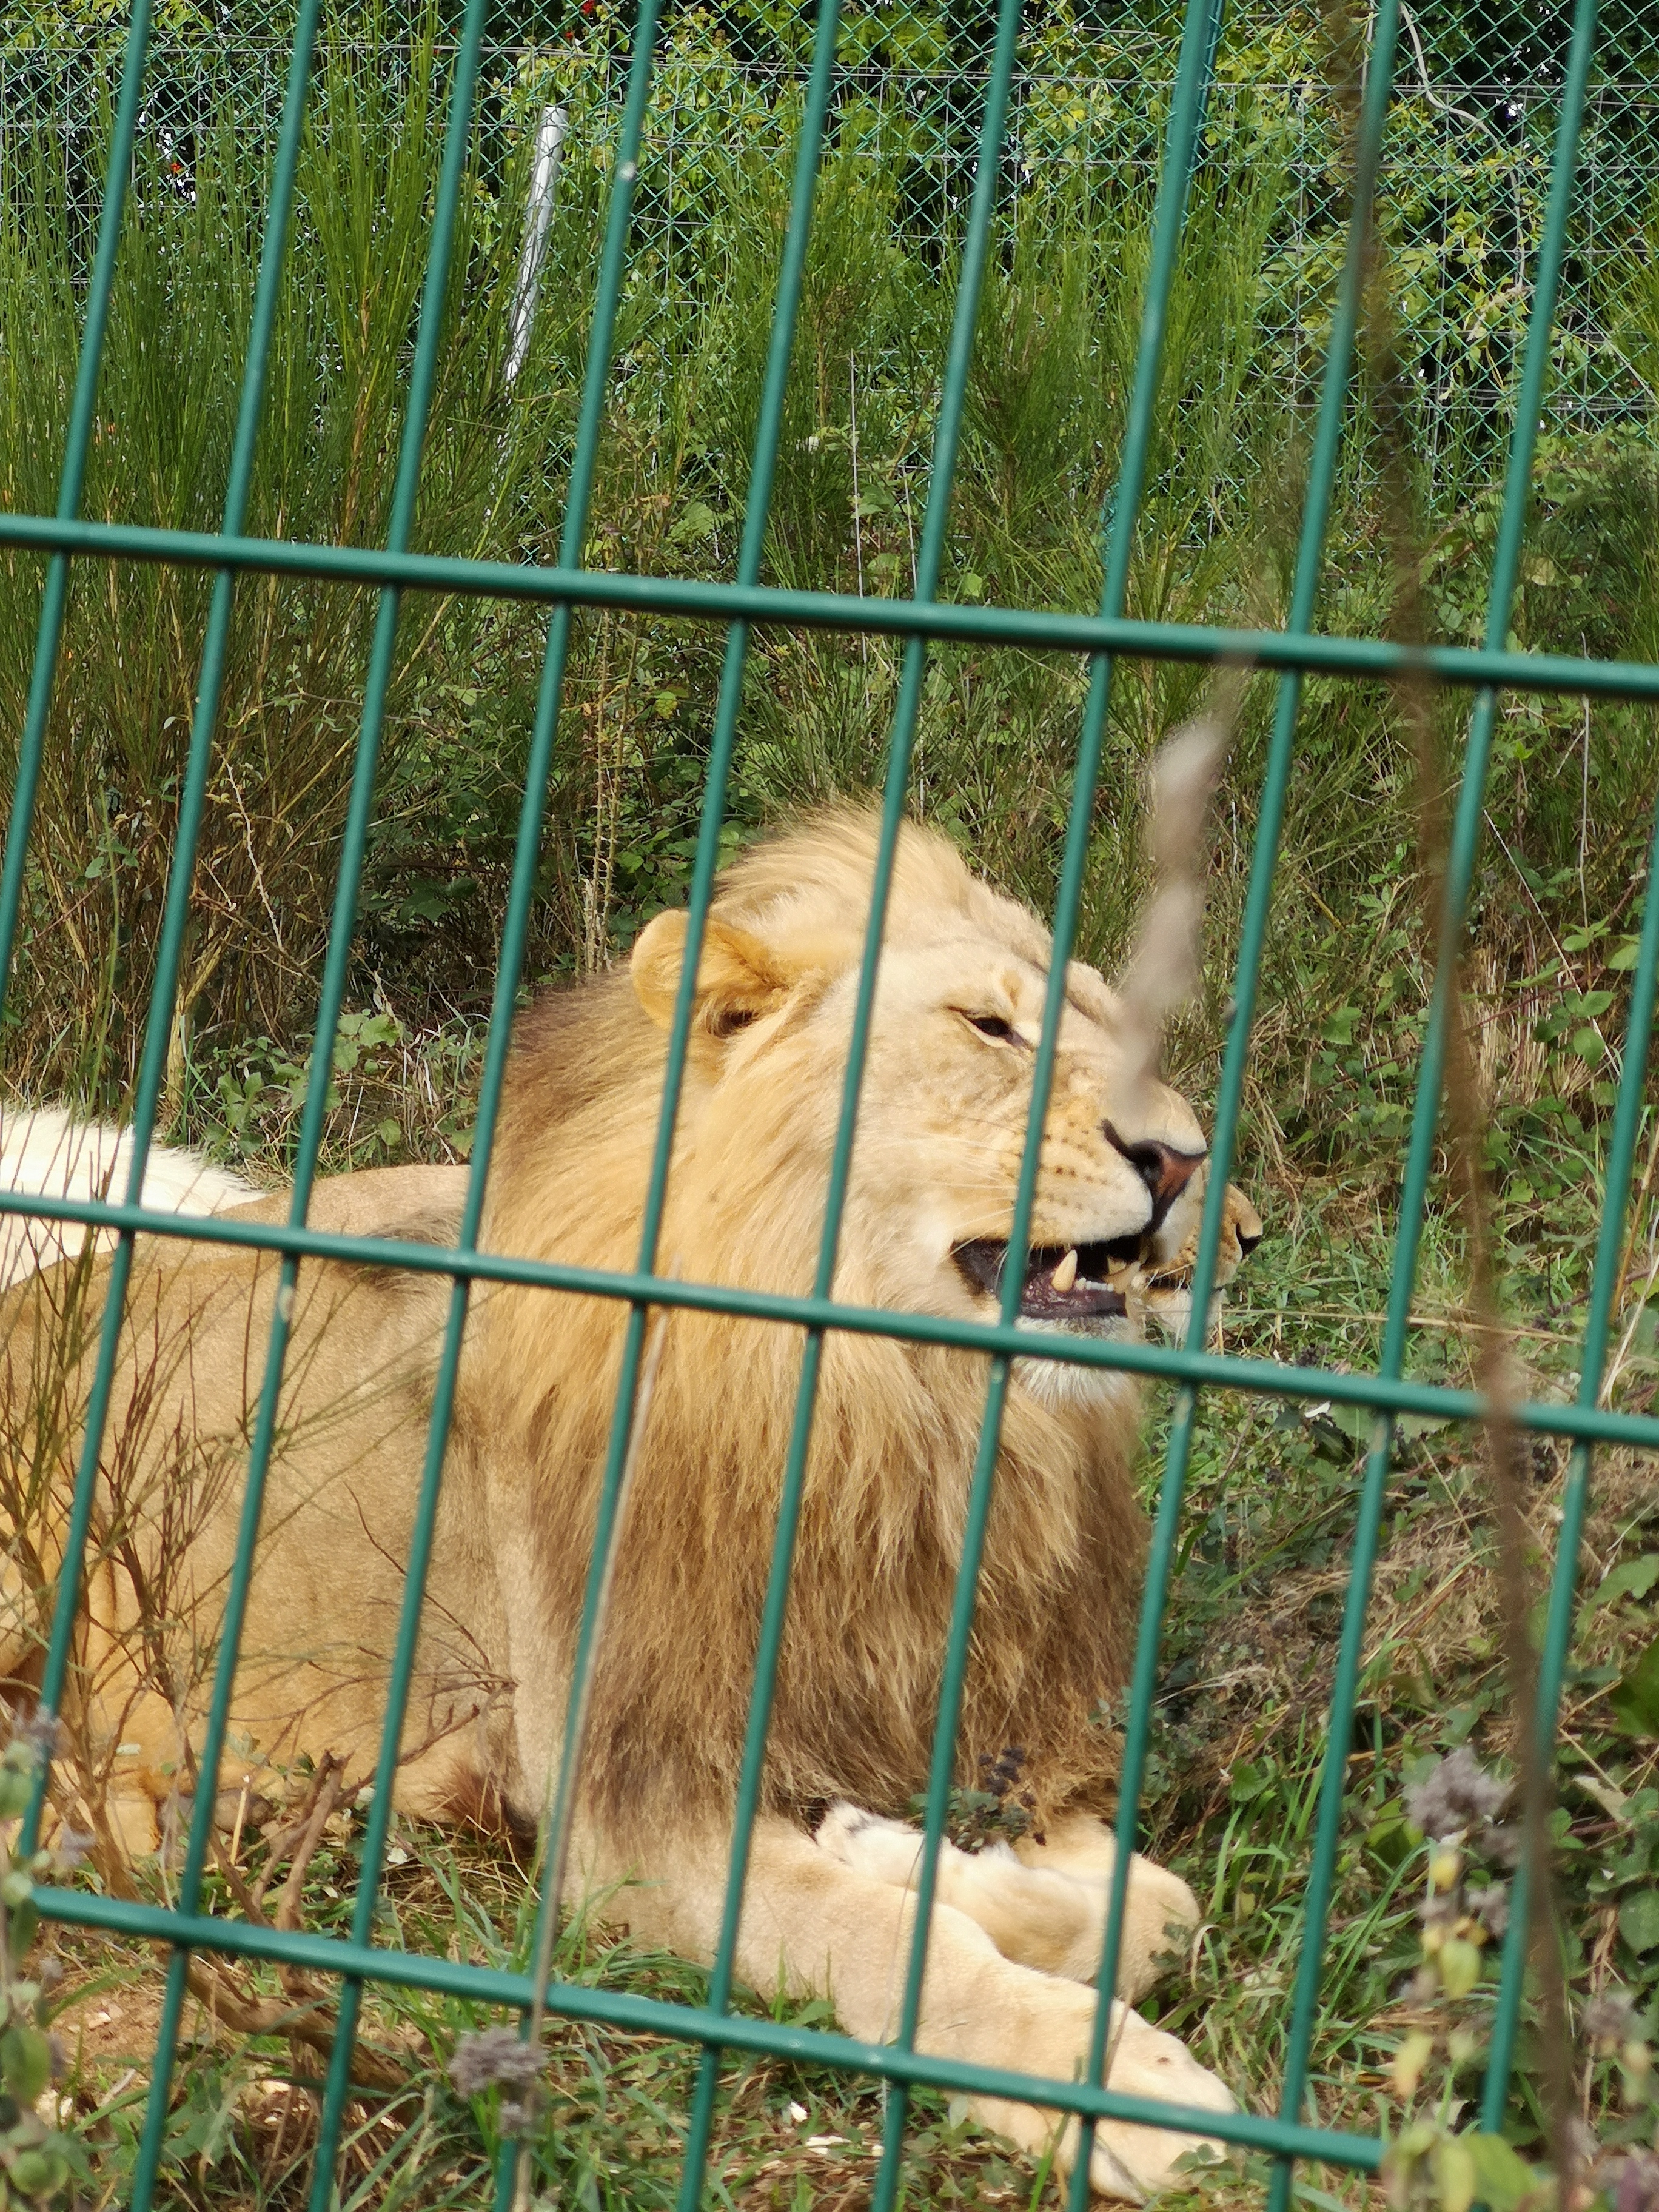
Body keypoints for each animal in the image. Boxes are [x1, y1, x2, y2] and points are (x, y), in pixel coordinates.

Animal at [0, 808, 1261, 2199]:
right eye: (989, 1029)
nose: (1192, 1168)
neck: (898, 1412)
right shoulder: (627, 1804)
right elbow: (896, 1950)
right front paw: (1125, 2094)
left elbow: (1162, 1908)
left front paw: (890, 1846)